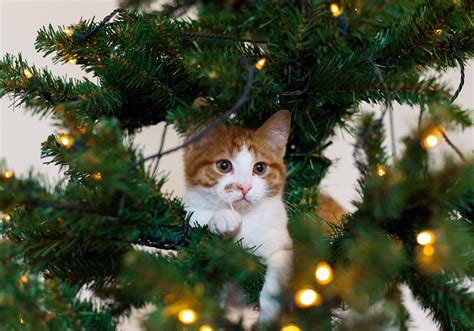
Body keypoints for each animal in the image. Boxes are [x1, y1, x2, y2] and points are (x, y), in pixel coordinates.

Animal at [182, 110, 290, 326]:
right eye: (224, 165)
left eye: (259, 168)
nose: (244, 187)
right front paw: (224, 218)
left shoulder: (286, 245)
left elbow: (279, 266)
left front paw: (270, 311)